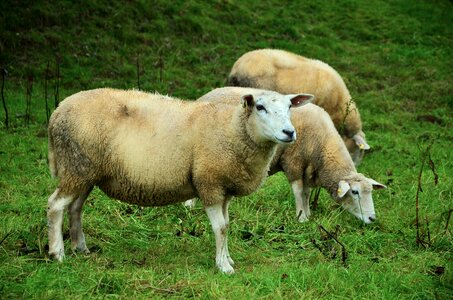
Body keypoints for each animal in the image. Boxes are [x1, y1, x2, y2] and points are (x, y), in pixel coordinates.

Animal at [46, 86, 314, 274]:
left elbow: (227, 225)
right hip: (76, 164)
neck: (231, 130)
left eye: (290, 107)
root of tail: (57, 112)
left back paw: (80, 248)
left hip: (83, 171)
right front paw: (224, 267)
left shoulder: (223, 188)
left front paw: (226, 258)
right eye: (260, 107)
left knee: (75, 208)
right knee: (55, 205)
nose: (289, 133)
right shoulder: (209, 182)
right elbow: (221, 227)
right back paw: (57, 253)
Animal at [182, 86, 384, 223]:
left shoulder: (307, 169)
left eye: (370, 191)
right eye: (355, 192)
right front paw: (301, 218)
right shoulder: (293, 162)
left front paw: (308, 214)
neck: (322, 145)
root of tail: (205, 95)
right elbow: (298, 191)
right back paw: (189, 206)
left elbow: (306, 193)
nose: (372, 218)